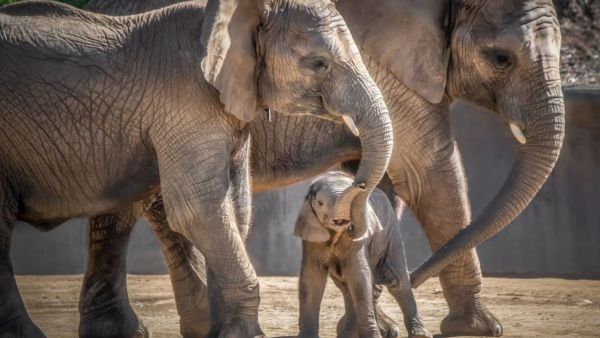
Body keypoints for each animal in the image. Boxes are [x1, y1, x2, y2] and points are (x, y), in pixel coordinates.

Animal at [0, 0, 394, 338]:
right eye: (319, 64)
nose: (353, 182)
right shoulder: (186, 103)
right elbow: (199, 209)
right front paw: (243, 335)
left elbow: (233, 209)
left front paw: (222, 330)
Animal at [294, 173, 426, 336]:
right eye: (320, 203)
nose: (361, 185)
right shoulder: (311, 239)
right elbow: (311, 278)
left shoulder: (358, 242)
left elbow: (359, 276)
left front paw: (373, 336)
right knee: (346, 286)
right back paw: (348, 333)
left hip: (391, 231)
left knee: (397, 281)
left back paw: (420, 334)